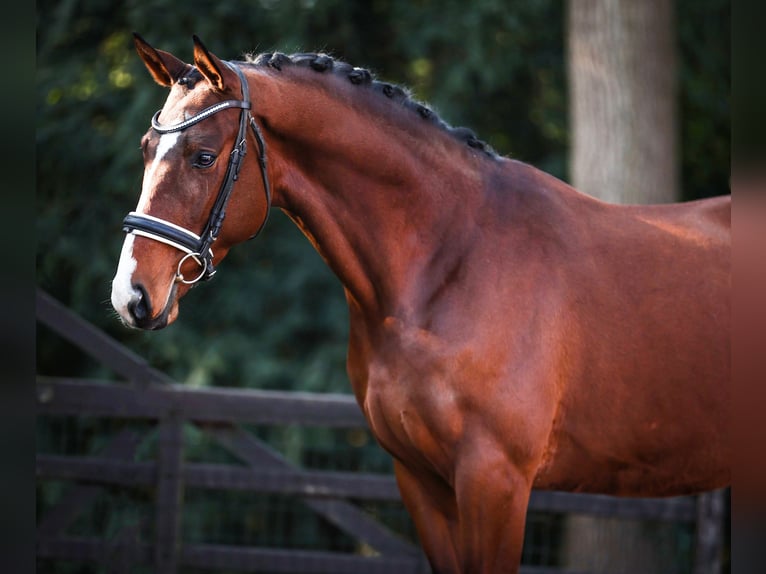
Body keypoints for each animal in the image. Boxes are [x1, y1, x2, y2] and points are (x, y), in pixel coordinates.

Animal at [112, 37, 732, 574]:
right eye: (145, 150)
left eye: (203, 156)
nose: (130, 295)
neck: (449, 262)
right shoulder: (420, 481)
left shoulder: (495, 482)